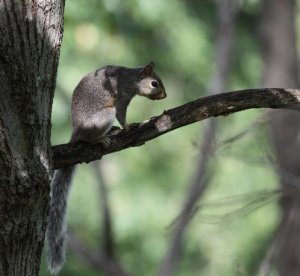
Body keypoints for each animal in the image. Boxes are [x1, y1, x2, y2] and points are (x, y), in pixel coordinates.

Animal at [47, 61, 166, 272]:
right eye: (154, 84)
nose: (164, 96)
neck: (132, 78)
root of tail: (75, 132)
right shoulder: (122, 96)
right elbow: (121, 114)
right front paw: (128, 127)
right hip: (102, 117)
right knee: (87, 137)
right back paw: (102, 138)